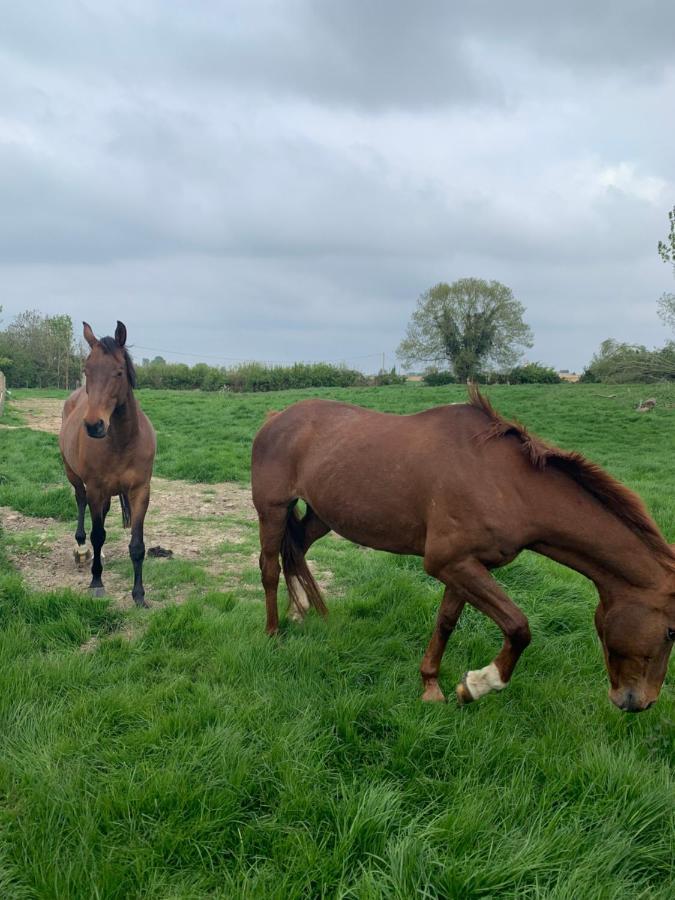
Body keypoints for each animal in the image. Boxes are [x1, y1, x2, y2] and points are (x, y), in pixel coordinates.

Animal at [58, 320, 156, 608]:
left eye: (119, 372)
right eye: (87, 370)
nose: (94, 425)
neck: (122, 441)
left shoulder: (140, 491)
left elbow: (137, 544)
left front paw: (139, 595)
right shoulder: (95, 489)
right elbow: (98, 534)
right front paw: (97, 583)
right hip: (74, 476)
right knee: (81, 504)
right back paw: (81, 549)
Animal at [254, 386, 675, 712]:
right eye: (672, 631)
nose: (640, 702)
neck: (507, 484)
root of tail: (276, 418)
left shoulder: (464, 566)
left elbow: (446, 622)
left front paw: (432, 686)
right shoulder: (450, 563)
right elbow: (518, 626)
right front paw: (477, 684)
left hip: (321, 515)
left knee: (296, 551)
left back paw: (302, 611)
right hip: (272, 510)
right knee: (270, 566)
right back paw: (273, 633)